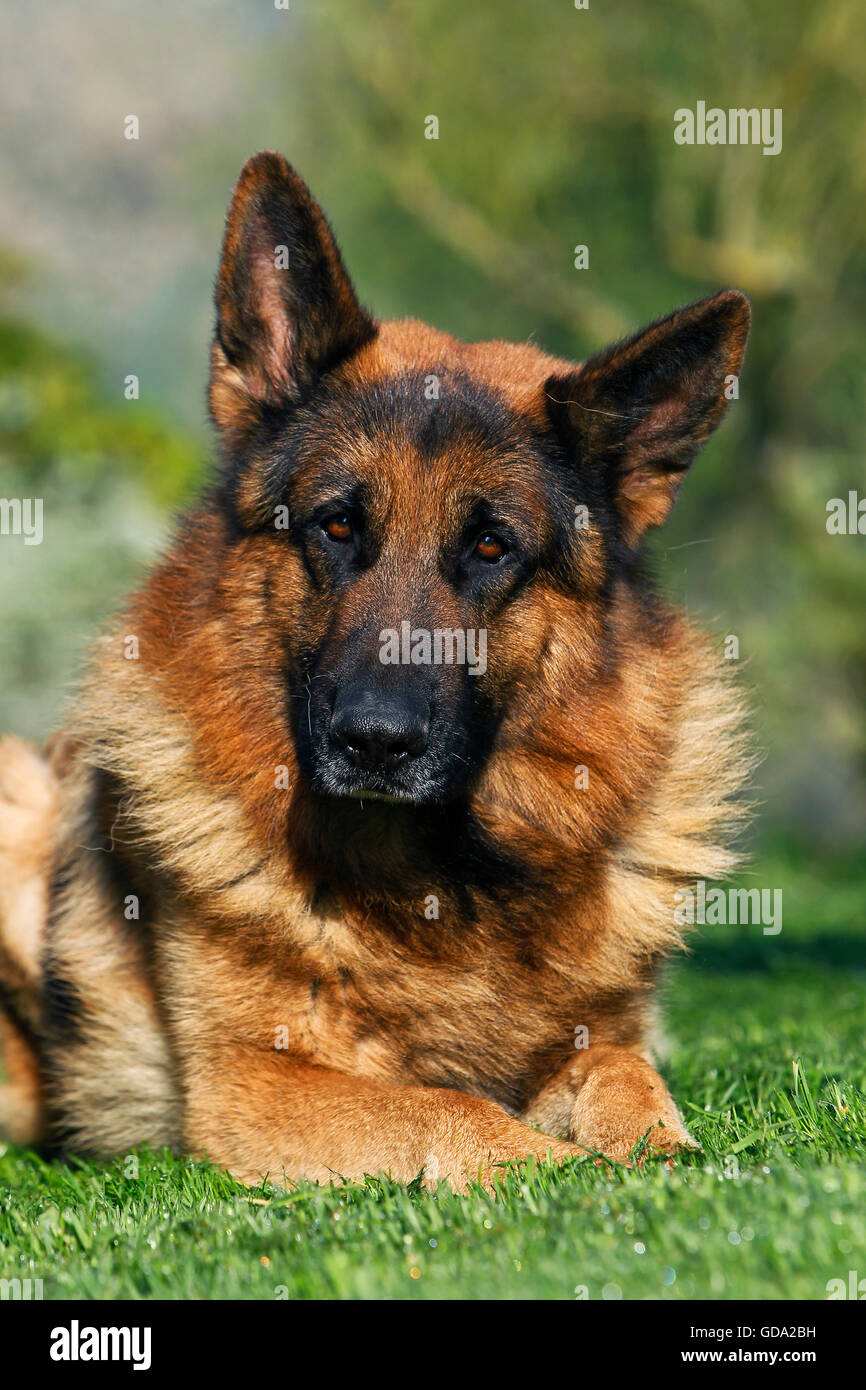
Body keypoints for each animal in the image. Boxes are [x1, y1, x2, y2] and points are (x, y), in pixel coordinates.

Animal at [0, 154, 750, 1195]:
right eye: (337, 525)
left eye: (490, 546)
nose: (376, 743)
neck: (442, 882)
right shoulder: (259, 1084)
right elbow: (450, 1108)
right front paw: (577, 1175)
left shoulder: (601, 1039)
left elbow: (625, 1078)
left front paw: (670, 1162)